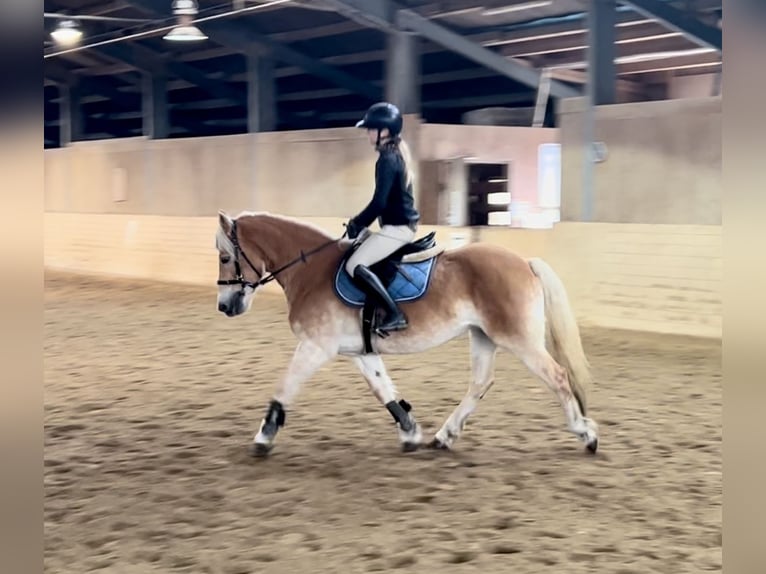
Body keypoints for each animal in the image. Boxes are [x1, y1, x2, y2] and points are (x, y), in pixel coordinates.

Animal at [214, 212, 600, 460]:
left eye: (225, 257)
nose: (225, 306)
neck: (312, 273)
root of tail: (524, 262)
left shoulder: (315, 346)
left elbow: (285, 386)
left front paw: (263, 437)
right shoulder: (360, 352)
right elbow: (383, 390)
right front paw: (410, 431)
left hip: (519, 339)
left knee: (558, 377)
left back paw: (587, 434)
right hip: (482, 336)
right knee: (480, 383)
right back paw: (444, 436)